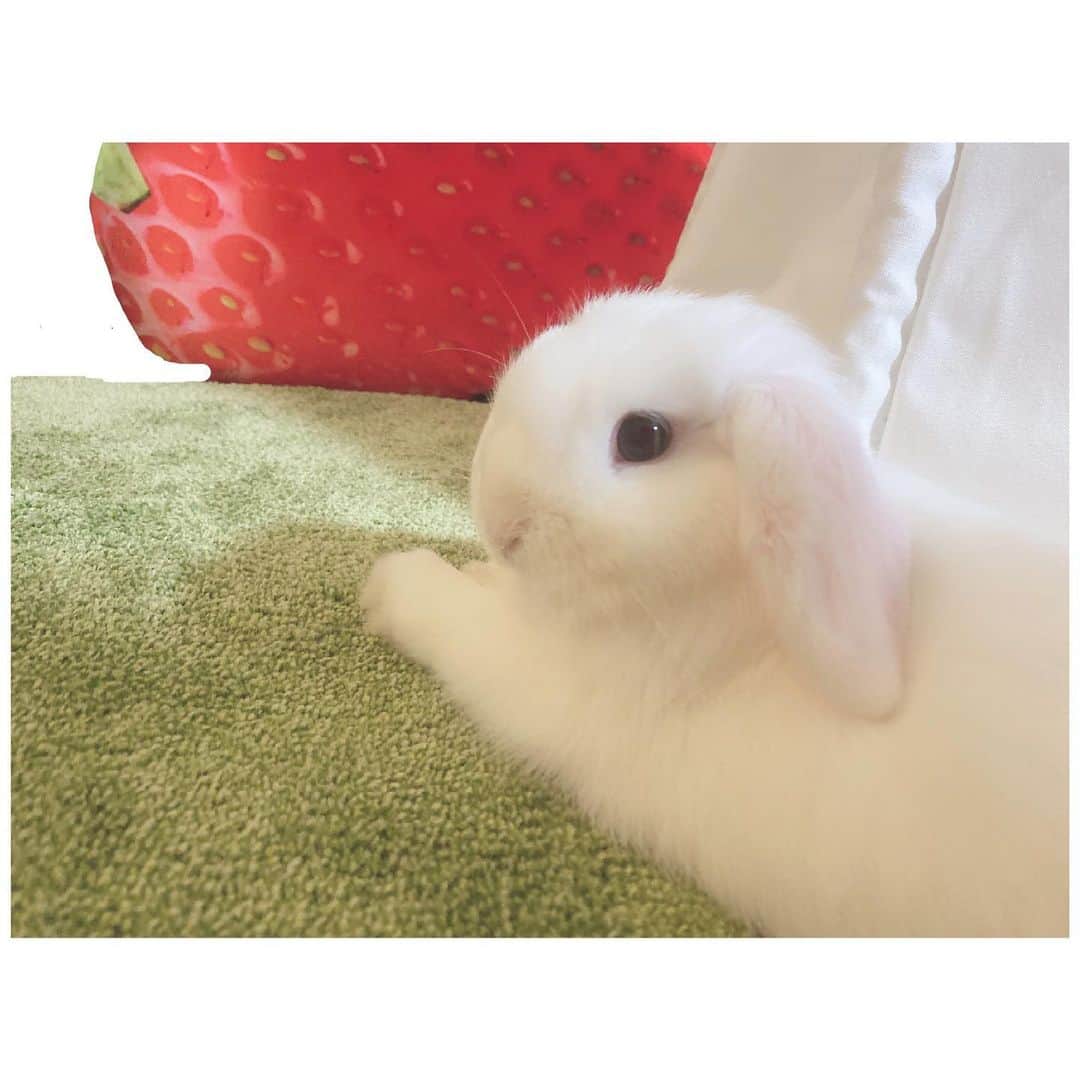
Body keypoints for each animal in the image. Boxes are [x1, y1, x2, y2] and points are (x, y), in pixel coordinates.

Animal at [361, 288, 1068, 937]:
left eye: (642, 437)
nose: (499, 522)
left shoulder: (540, 680)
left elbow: (453, 616)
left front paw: (386, 584)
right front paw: (481, 571)